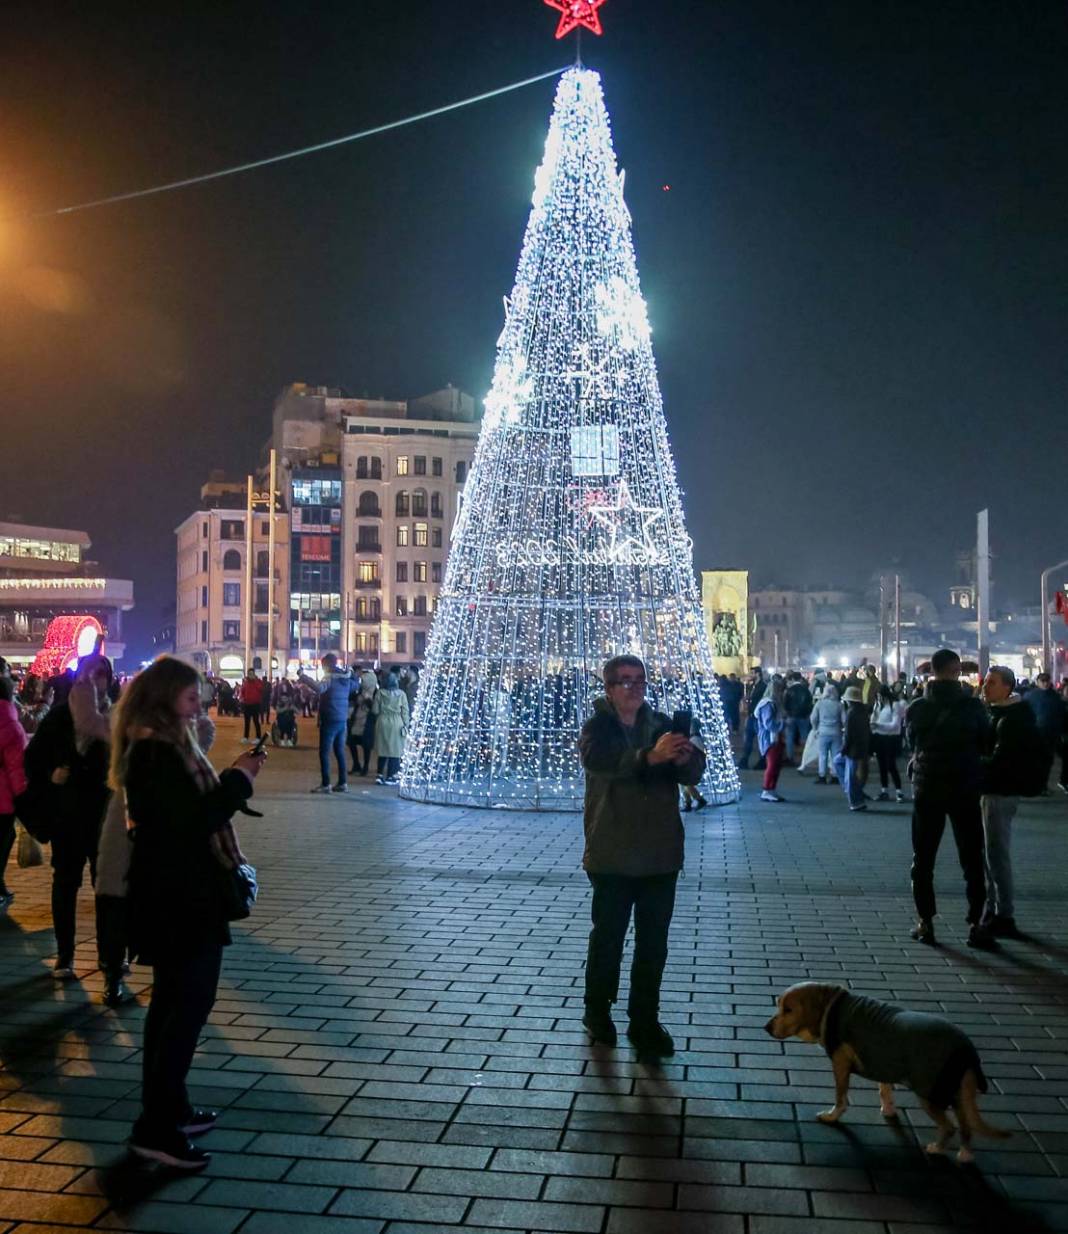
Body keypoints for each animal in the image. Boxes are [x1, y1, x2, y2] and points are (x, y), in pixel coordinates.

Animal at [760, 977, 1002, 1159]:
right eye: (778, 1004)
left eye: (788, 1009)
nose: (766, 1027)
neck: (831, 1006)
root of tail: (966, 1048)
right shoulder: (883, 1062)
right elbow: (884, 1089)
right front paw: (888, 1109)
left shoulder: (841, 1063)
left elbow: (840, 1097)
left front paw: (832, 1116)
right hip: (959, 1092)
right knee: (966, 1125)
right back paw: (965, 1155)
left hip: (930, 1093)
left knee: (950, 1127)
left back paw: (937, 1149)